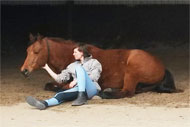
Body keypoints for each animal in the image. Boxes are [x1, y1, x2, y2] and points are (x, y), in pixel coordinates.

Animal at [20, 34, 180, 99]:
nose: (24, 71)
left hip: (132, 72)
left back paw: (105, 93)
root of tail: (161, 66)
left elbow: (63, 87)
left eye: (36, 51)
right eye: (27, 51)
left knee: (127, 92)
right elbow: (49, 85)